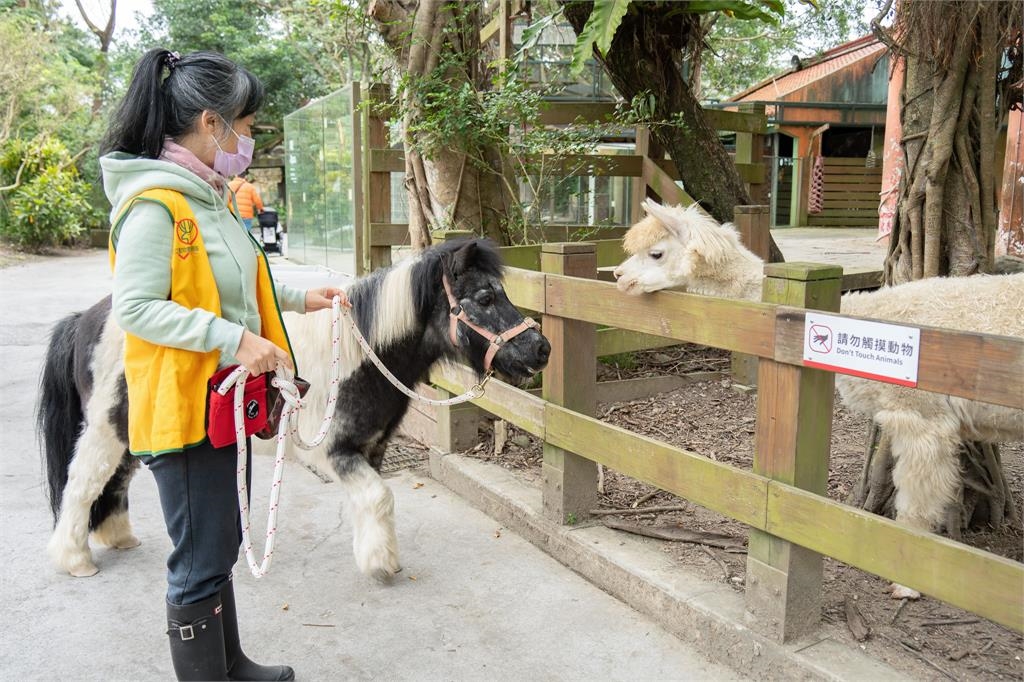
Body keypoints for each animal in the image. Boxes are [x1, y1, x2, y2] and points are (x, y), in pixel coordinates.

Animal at [39, 238, 550, 580]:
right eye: (484, 298)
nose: (540, 349)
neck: (357, 356)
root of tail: (86, 319)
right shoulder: (335, 452)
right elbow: (379, 498)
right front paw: (381, 564)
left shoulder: (372, 448)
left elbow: (372, 501)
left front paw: (373, 552)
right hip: (105, 429)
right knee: (81, 485)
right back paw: (75, 560)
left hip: (132, 433)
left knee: (115, 481)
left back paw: (116, 537)